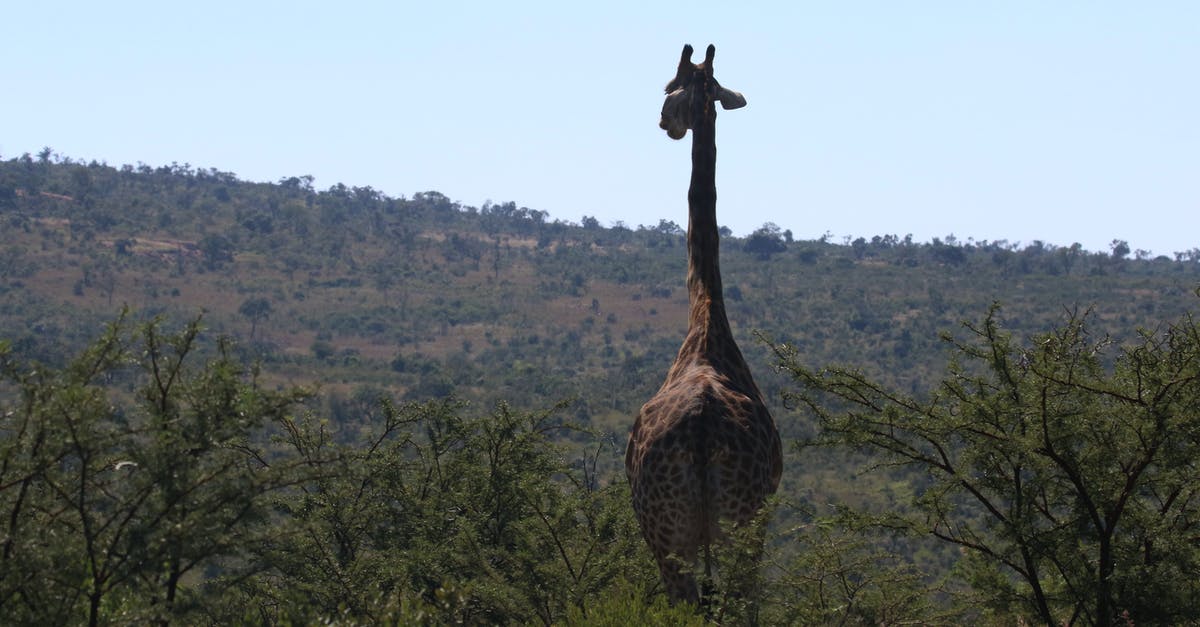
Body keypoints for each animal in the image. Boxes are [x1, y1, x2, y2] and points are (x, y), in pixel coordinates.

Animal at [624, 41, 782, 602]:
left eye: (670, 87)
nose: (663, 122)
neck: (705, 315)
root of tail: (700, 429)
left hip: (675, 536)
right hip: (730, 528)